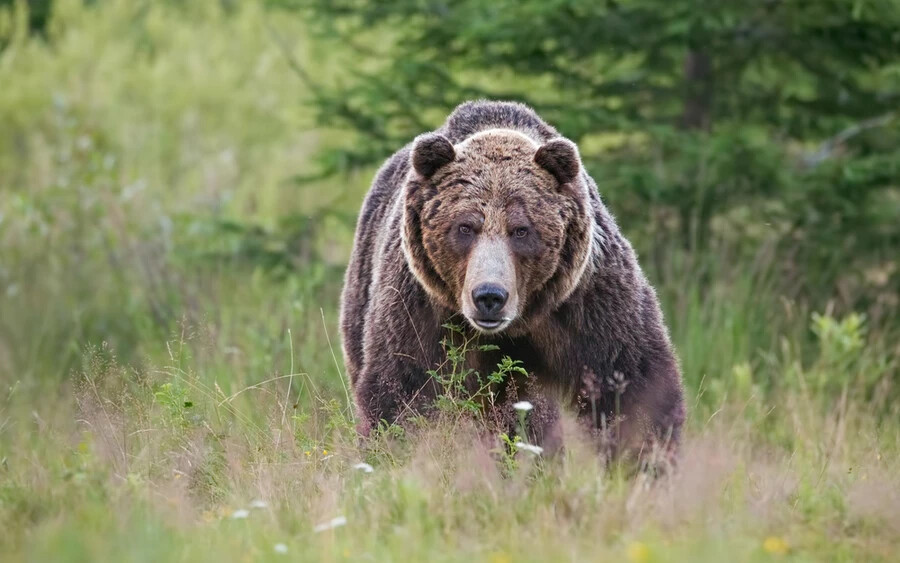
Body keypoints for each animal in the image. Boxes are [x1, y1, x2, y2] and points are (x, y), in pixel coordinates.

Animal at [342, 101, 684, 460]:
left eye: (521, 229)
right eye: (465, 227)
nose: (489, 296)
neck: (517, 323)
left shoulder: (587, 301)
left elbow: (632, 385)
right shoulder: (421, 309)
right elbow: (403, 391)